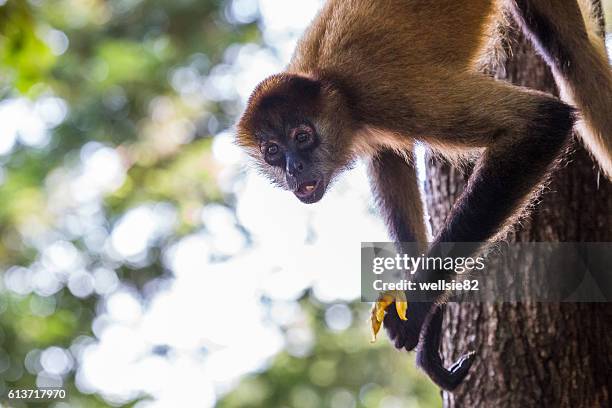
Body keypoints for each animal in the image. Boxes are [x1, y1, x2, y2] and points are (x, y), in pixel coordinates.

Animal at [235, 0, 612, 390]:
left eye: (302, 137)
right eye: (272, 151)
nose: (293, 167)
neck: (330, 82)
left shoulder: (381, 92)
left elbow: (540, 122)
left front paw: (417, 308)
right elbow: (389, 158)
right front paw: (432, 323)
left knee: (566, 54)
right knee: (571, 50)